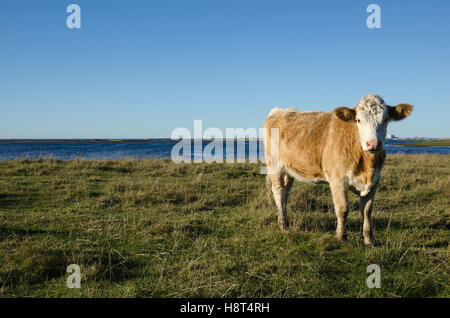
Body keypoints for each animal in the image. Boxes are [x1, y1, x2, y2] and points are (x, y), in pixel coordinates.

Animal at [264, 93, 414, 245]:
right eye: (358, 120)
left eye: (385, 119)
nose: (373, 144)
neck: (366, 167)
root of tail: (279, 111)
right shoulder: (338, 180)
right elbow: (343, 209)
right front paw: (341, 236)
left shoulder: (375, 181)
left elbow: (367, 211)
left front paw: (369, 239)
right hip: (274, 165)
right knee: (278, 192)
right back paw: (283, 224)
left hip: (290, 169)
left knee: (286, 193)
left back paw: (284, 220)